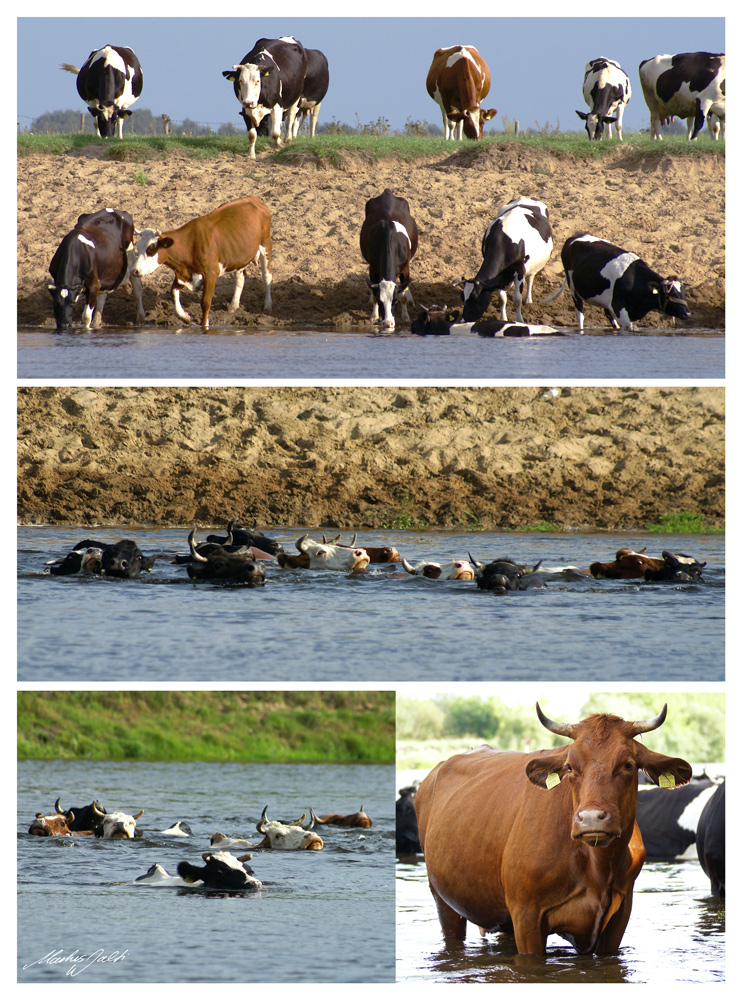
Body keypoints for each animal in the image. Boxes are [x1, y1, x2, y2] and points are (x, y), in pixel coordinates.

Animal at [133, 196, 274, 332]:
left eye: (151, 249)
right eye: (137, 247)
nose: (135, 270)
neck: (190, 244)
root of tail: (254, 199)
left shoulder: (211, 273)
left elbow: (205, 302)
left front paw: (204, 326)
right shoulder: (183, 273)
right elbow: (173, 292)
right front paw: (185, 316)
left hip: (266, 244)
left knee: (267, 276)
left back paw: (268, 305)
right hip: (239, 255)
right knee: (240, 277)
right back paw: (233, 306)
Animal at [364, 186, 422, 330]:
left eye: (394, 301)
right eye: (381, 301)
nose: (388, 323)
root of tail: (387, 193)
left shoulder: (405, 267)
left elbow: (403, 295)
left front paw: (406, 317)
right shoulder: (373, 268)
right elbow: (374, 293)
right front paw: (374, 316)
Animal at [416, 700, 696, 956]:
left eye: (628, 764)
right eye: (570, 766)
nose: (591, 818)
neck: (598, 866)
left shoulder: (619, 916)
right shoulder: (526, 915)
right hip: (443, 900)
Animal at [544, 232, 696, 330]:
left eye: (684, 294)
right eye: (672, 294)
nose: (687, 313)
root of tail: (574, 238)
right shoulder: (619, 306)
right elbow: (629, 327)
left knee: (607, 314)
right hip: (573, 288)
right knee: (579, 313)